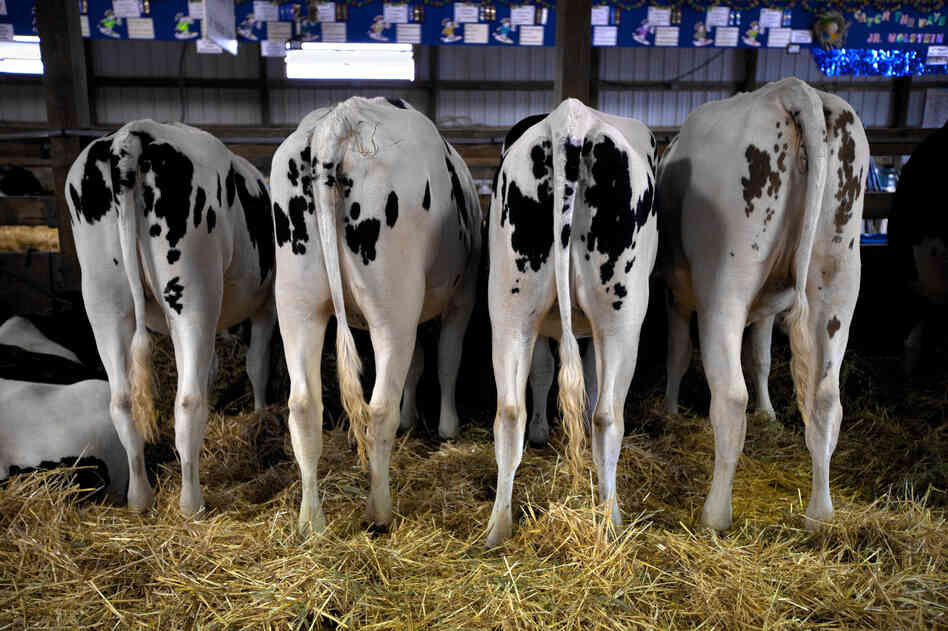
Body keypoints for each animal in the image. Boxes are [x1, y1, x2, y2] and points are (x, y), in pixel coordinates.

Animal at [66, 120, 277, 516]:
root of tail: (132, 134)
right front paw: (260, 414)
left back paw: (139, 498)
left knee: (121, 401)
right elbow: (257, 364)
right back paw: (191, 503)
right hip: (194, 291)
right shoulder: (266, 304)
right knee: (188, 400)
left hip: (103, 297)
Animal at [270, 96, 481, 535]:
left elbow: (418, 364)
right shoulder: (462, 296)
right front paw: (447, 427)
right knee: (380, 406)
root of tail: (339, 120)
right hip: (392, 305)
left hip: (296, 300)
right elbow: (446, 360)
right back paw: (379, 512)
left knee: (304, 406)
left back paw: (310, 522)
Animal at [486, 98, 658, 546]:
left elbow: (545, 373)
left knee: (509, 411)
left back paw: (498, 528)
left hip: (511, 303)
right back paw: (611, 520)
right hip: (622, 316)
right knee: (608, 416)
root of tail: (572, 119)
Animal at [656, 77, 869, 531]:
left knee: (730, 396)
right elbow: (762, 359)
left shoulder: (676, 293)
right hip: (838, 277)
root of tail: (793, 90)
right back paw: (820, 514)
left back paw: (715, 514)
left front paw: (669, 410)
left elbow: (678, 354)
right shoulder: (771, 307)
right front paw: (769, 412)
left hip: (725, 283)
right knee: (826, 398)